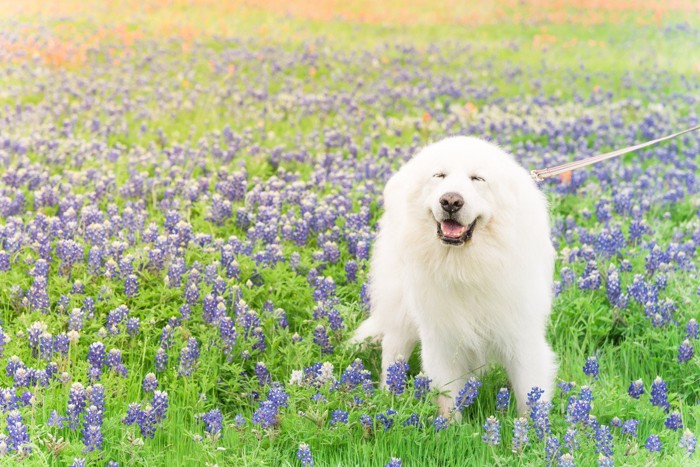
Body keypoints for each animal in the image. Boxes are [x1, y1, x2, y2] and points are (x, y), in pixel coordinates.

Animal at [352, 136, 560, 416]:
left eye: (477, 178)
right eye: (439, 175)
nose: (451, 201)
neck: (465, 266)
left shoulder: (521, 335)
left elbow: (530, 397)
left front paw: (532, 428)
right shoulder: (441, 336)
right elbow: (447, 399)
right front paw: (449, 425)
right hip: (401, 304)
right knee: (394, 351)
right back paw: (389, 397)